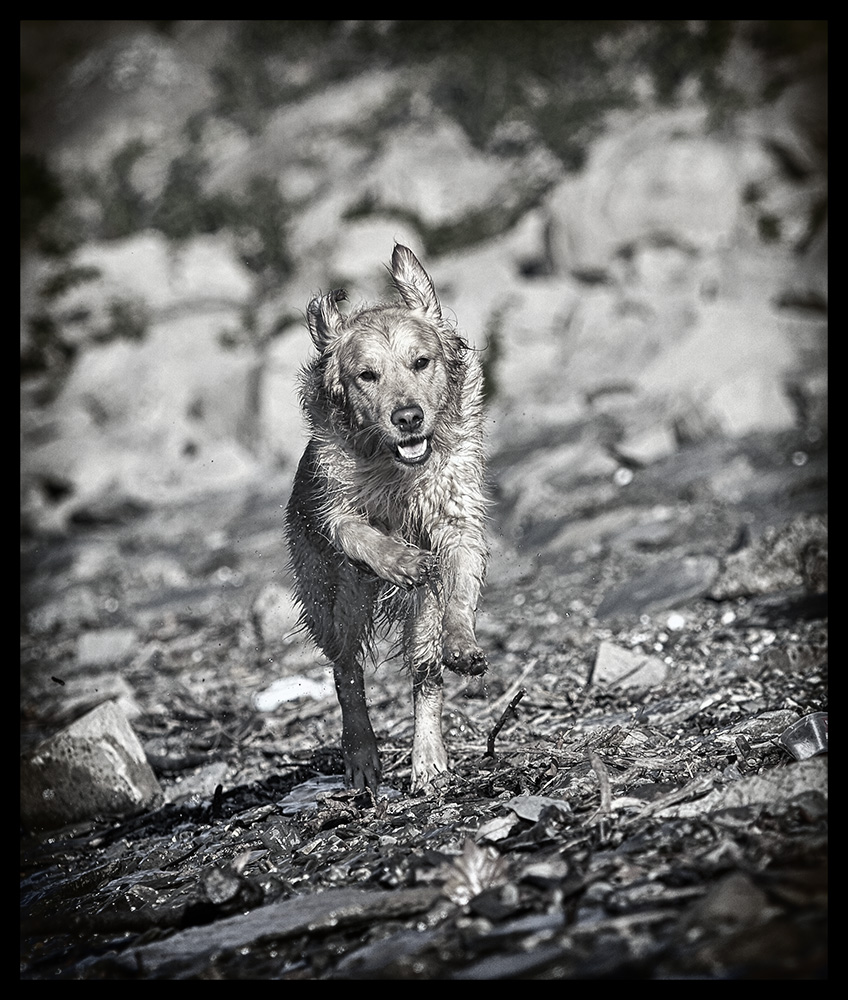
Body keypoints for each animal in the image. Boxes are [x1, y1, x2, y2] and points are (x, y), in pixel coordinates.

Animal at [284, 242, 486, 788]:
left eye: (421, 362)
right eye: (366, 376)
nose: (408, 417)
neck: (396, 467)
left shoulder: (457, 524)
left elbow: (458, 591)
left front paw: (462, 644)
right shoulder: (334, 515)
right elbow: (360, 534)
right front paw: (402, 560)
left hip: (417, 616)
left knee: (425, 674)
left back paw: (428, 760)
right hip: (336, 597)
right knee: (345, 671)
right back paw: (361, 755)